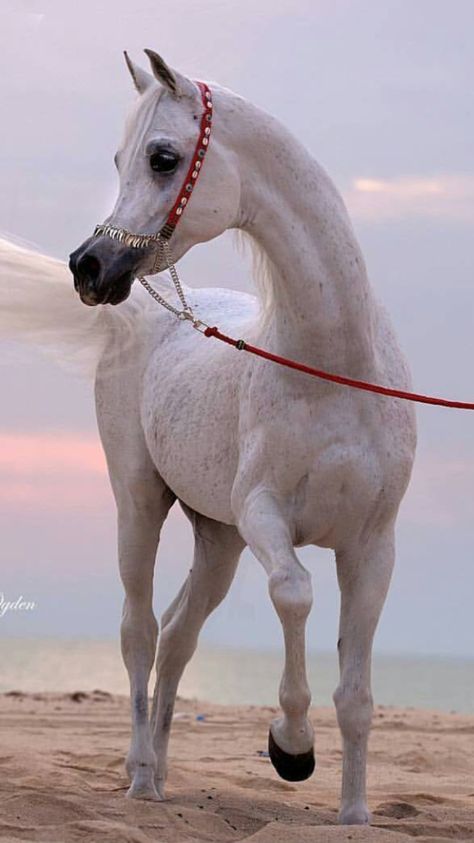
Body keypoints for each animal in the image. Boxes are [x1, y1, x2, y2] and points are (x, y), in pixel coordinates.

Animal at [0, 51, 414, 824]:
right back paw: (139, 777)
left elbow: (357, 694)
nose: (88, 267)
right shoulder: (265, 516)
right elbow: (294, 592)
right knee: (139, 630)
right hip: (140, 505)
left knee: (177, 635)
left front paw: (354, 815)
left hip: (217, 540)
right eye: (119, 159)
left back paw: (162, 774)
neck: (331, 368)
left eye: (163, 158)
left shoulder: (372, 547)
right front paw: (291, 747)